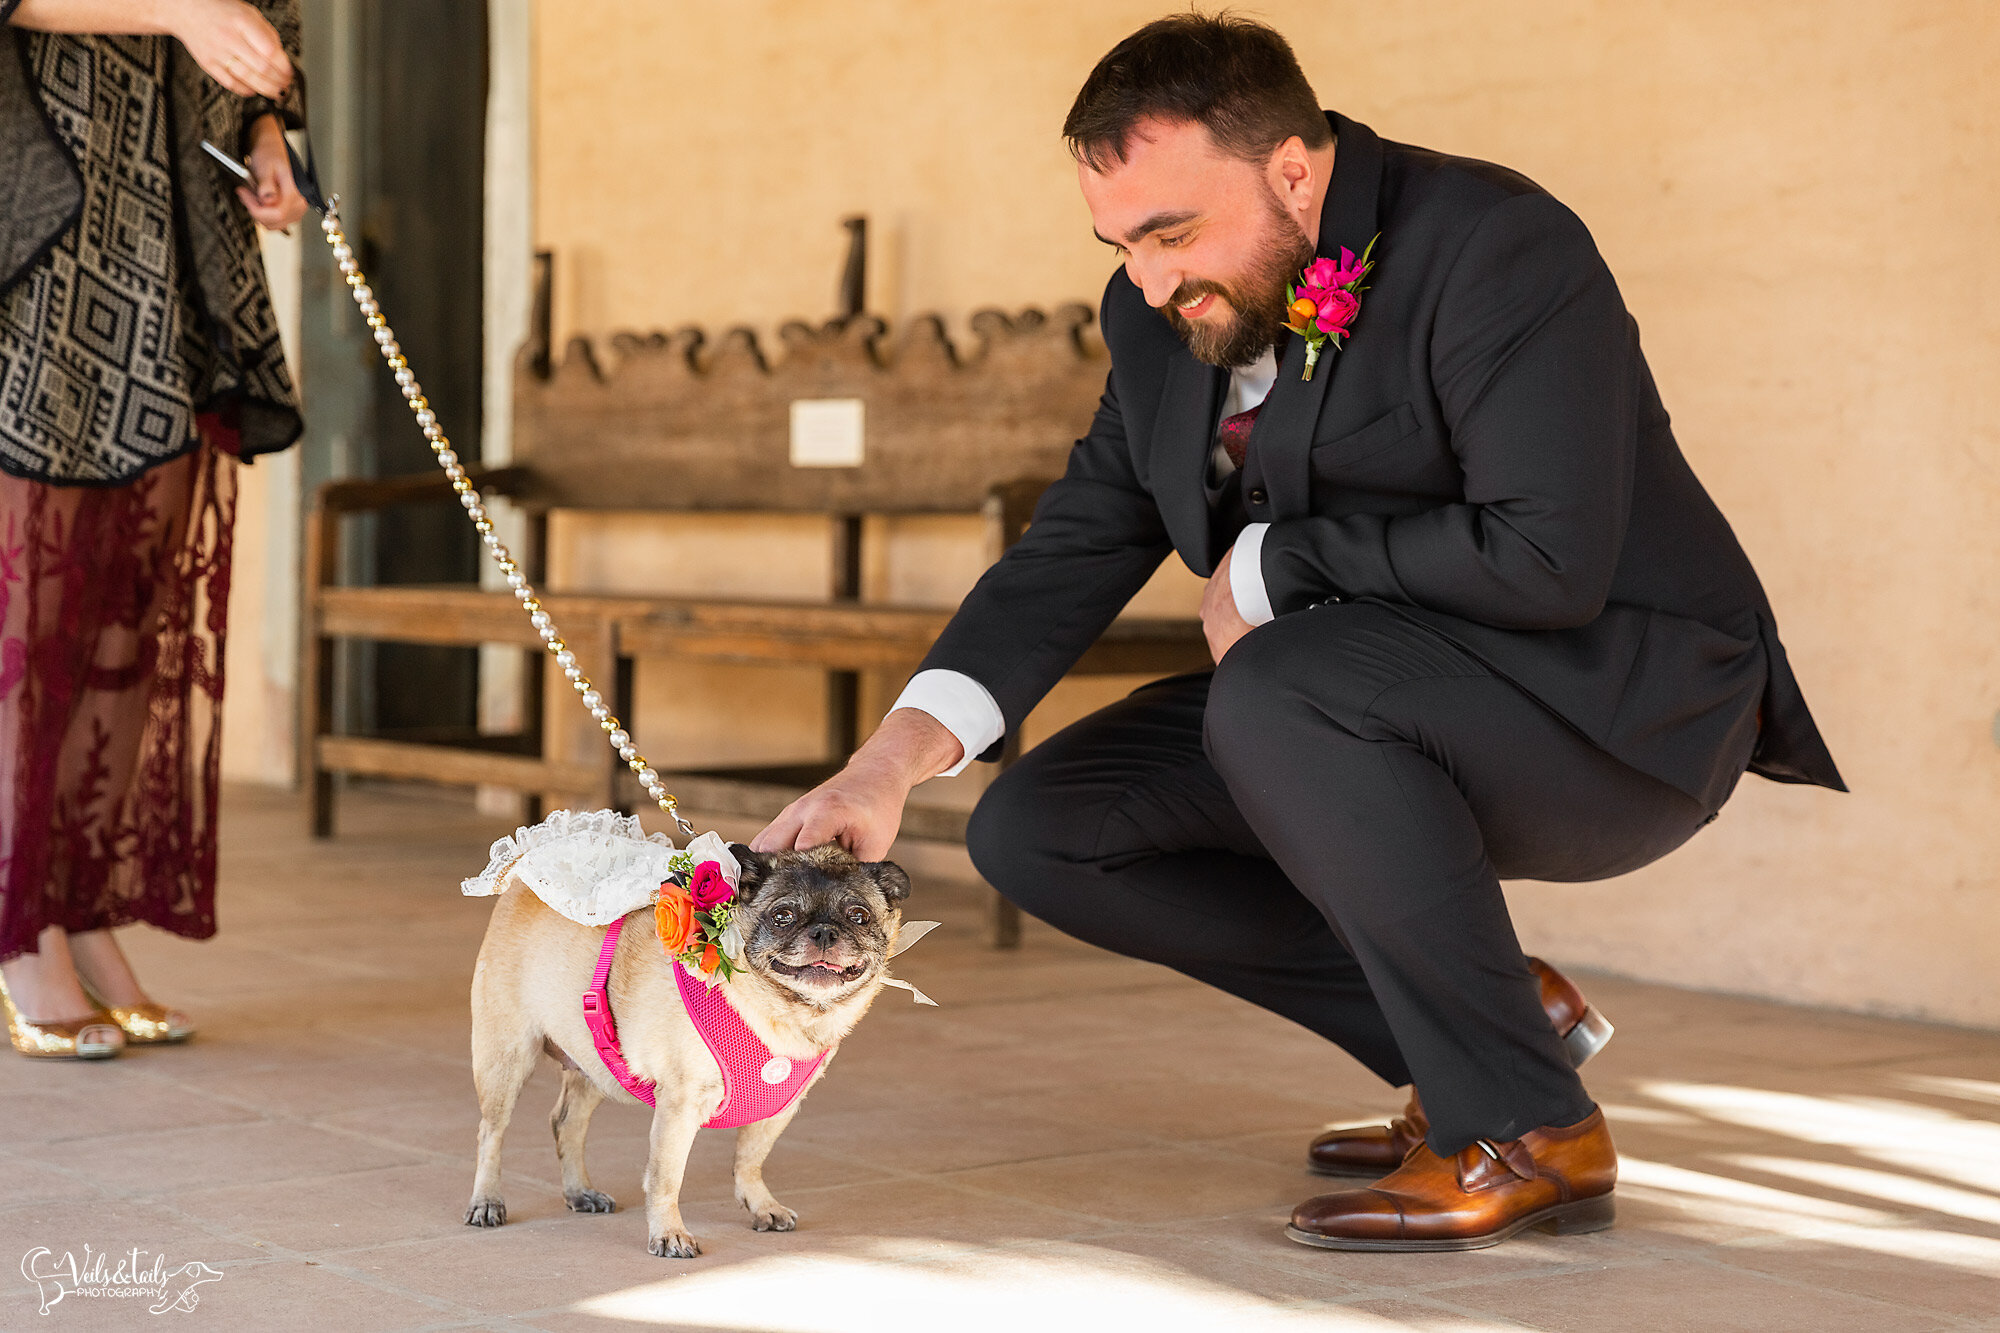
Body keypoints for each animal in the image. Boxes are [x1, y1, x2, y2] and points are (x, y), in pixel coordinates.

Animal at [464, 844, 912, 1248]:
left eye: (859, 916)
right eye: (782, 916)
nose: (824, 932)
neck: (789, 1014)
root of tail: (522, 878)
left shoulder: (776, 1109)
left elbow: (749, 1162)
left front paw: (761, 1206)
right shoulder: (679, 1107)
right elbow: (666, 1178)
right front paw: (669, 1233)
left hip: (594, 1066)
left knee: (566, 1124)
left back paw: (580, 1192)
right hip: (506, 1058)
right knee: (491, 1133)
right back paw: (487, 1201)